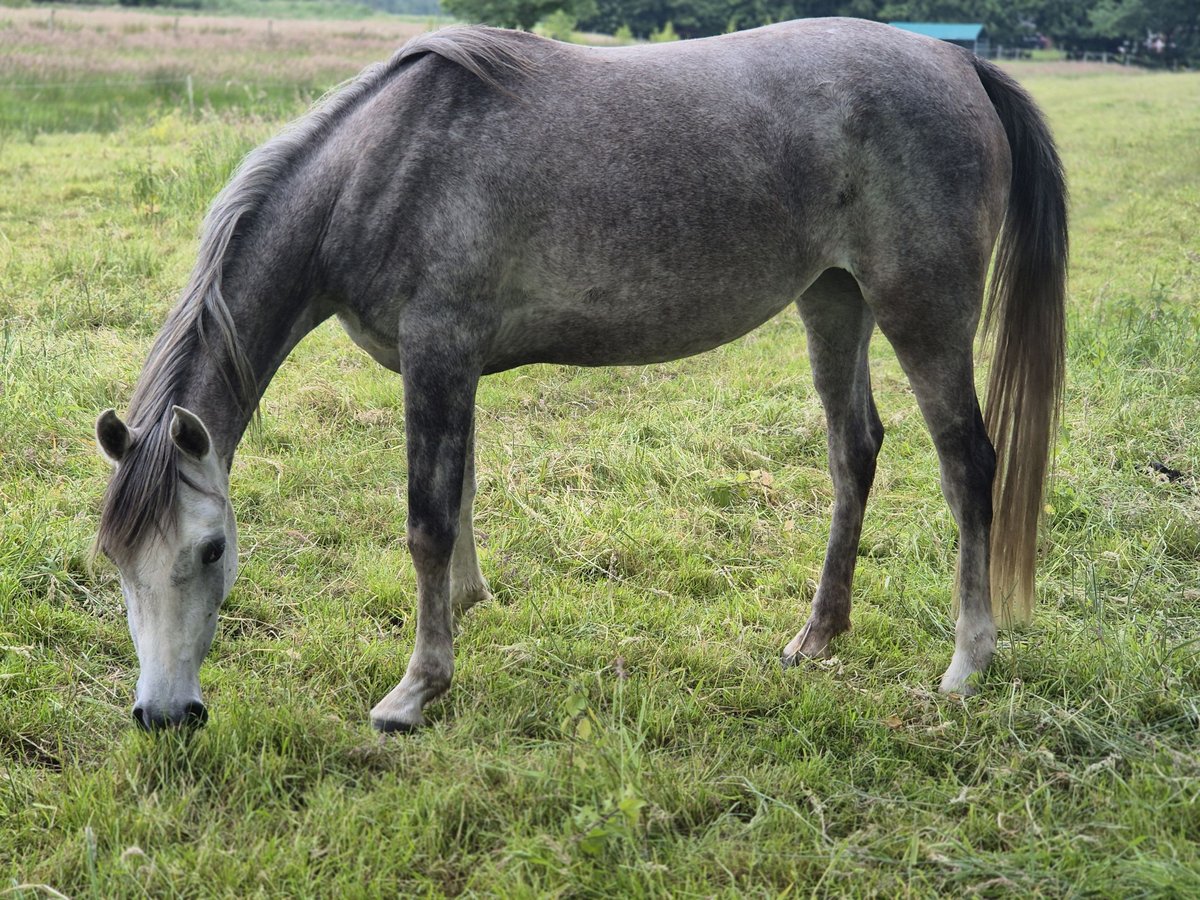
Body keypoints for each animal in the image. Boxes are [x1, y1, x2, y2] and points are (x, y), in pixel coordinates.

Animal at [96, 19, 1070, 734]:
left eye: (211, 549)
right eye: (112, 558)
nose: (164, 715)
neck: (381, 166)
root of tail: (954, 58)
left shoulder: (437, 351)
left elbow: (426, 520)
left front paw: (417, 690)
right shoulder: (455, 365)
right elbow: (462, 493)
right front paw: (470, 603)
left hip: (922, 314)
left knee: (967, 465)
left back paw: (966, 661)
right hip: (834, 299)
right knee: (853, 450)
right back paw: (817, 636)